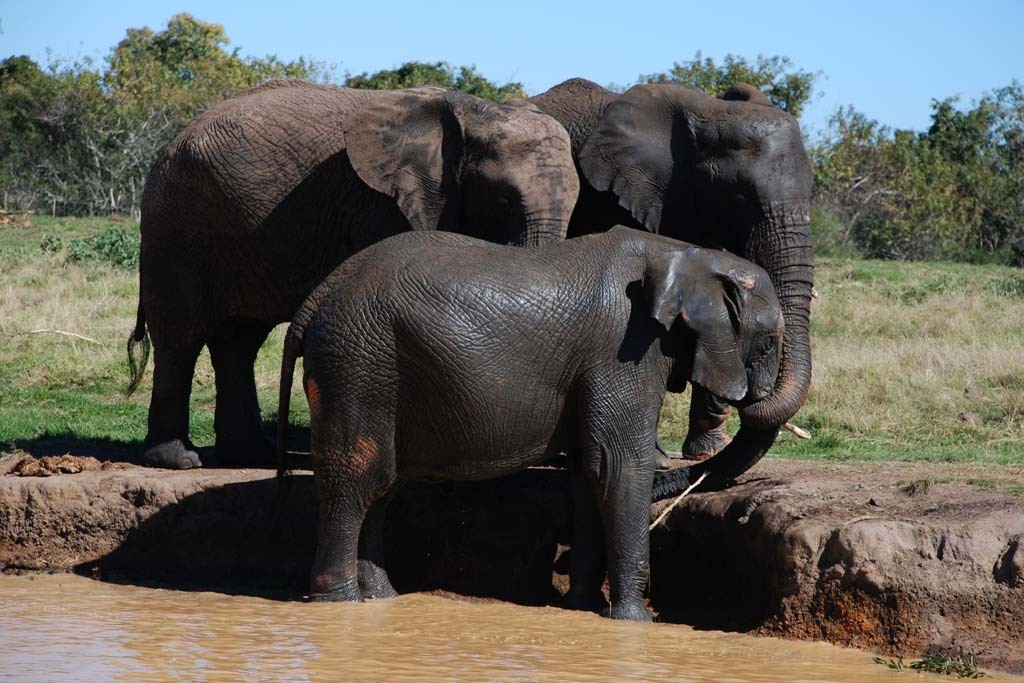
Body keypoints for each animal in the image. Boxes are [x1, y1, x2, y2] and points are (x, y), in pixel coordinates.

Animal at [125, 80, 579, 470]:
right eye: (502, 199)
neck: (474, 110)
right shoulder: (380, 203)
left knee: (239, 340)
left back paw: (251, 454)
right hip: (176, 226)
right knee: (181, 337)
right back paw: (178, 460)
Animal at [275, 227, 783, 620]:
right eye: (768, 344)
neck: (685, 251)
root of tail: (315, 298)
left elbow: (589, 471)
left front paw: (582, 608)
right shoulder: (626, 350)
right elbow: (619, 466)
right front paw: (634, 622)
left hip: (370, 367)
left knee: (380, 486)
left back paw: (383, 599)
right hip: (357, 363)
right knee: (358, 481)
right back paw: (340, 605)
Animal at [527, 78, 813, 483]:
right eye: (739, 196)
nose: (754, 397)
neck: (706, 110)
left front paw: (708, 449)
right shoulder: (618, 197)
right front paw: (659, 459)